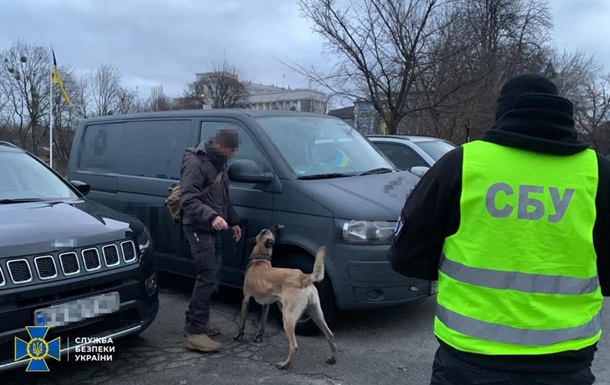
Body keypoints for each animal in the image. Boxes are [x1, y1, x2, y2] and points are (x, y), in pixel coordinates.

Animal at [233, 228, 338, 368]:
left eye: (264, 231)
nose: (276, 227)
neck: (260, 262)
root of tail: (301, 277)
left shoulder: (246, 299)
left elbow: (242, 321)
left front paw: (239, 336)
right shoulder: (266, 304)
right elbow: (262, 323)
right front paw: (258, 337)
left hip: (288, 318)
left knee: (294, 346)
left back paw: (284, 365)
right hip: (316, 314)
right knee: (330, 335)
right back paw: (332, 358)